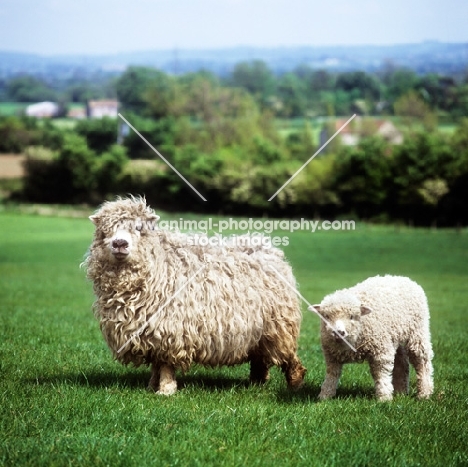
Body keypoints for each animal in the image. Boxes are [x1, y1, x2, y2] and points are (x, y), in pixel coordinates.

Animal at [83, 197, 308, 394]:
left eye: (139, 228)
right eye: (105, 231)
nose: (119, 243)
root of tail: (269, 249)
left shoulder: (170, 329)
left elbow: (165, 364)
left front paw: (165, 390)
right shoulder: (151, 332)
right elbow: (156, 364)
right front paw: (151, 385)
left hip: (279, 326)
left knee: (287, 355)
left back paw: (295, 382)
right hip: (259, 331)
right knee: (260, 359)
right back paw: (257, 383)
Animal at [308, 274, 434, 402]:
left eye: (352, 316)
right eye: (326, 316)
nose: (338, 332)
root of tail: (403, 278)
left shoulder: (381, 351)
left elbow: (381, 374)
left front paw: (384, 398)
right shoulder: (331, 356)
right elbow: (332, 374)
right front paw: (325, 395)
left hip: (417, 331)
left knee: (422, 361)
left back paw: (424, 393)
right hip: (394, 336)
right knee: (401, 363)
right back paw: (400, 392)